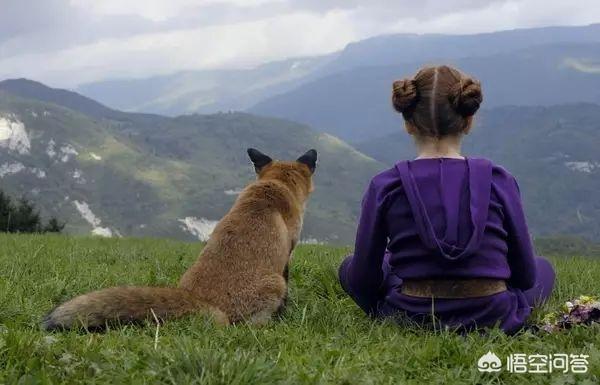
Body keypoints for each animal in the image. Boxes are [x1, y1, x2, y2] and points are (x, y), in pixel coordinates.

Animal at [42, 148, 318, 328]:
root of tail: (202, 301)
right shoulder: (287, 257)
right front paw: (286, 314)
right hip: (273, 284)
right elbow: (288, 288)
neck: (273, 187)